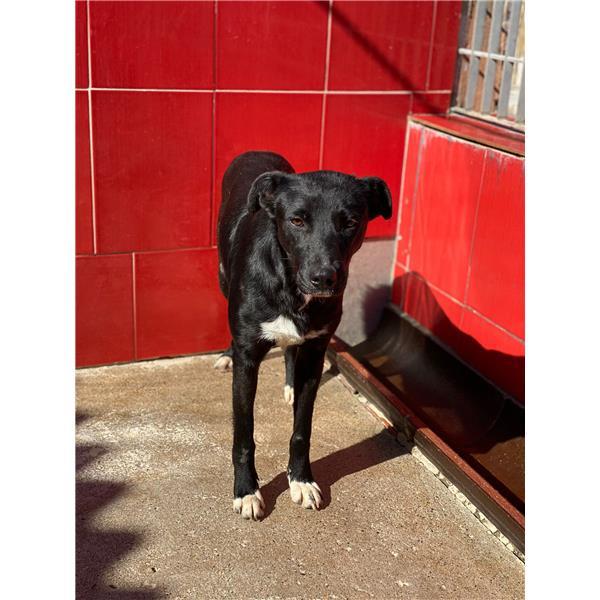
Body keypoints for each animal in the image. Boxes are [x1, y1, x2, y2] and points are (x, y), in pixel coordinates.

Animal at [215, 151, 392, 520]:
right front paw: (247, 490)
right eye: (297, 220)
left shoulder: (315, 353)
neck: (290, 284)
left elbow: (302, 430)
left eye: (350, 222)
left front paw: (301, 480)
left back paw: (289, 387)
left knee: (289, 350)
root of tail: (256, 151)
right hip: (223, 277)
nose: (323, 278)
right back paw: (226, 354)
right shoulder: (248, 359)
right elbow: (244, 432)